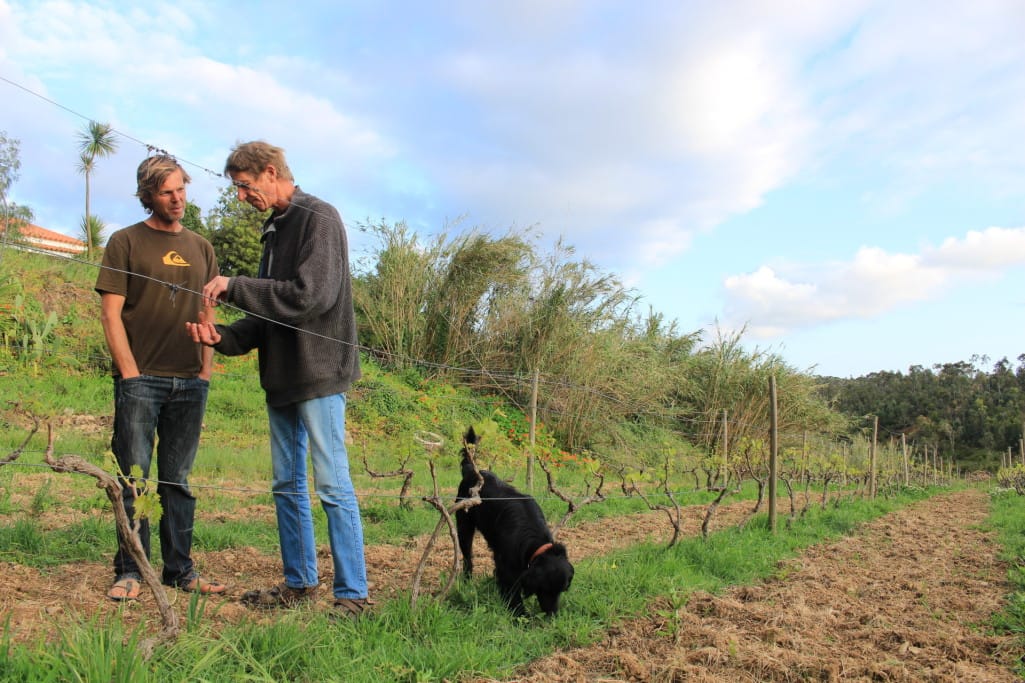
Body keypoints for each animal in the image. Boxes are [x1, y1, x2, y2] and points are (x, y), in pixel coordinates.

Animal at [455, 426, 574, 611]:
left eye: (562, 590)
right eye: (545, 589)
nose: (553, 613)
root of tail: (472, 472)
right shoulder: (507, 562)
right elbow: (512, 589)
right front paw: (519, 612)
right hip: (464, 526)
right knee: (468, 556)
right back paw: (467, 579)